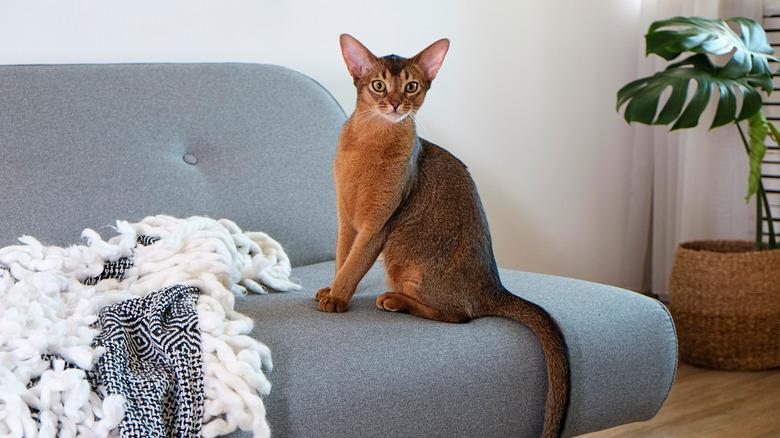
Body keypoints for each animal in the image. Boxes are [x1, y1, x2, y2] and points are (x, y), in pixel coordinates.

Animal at [314, 34, 568, 438]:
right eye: (378, 85)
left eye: (411, 86)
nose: (395, 103)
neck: (369, 141)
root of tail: (495, 288)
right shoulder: (346, 220)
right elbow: (342, 257)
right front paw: (332, 289)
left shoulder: (377, 226)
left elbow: (354, 265)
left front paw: (338, 297)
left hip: (401, 247)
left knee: (461, 316)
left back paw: (395, 300)